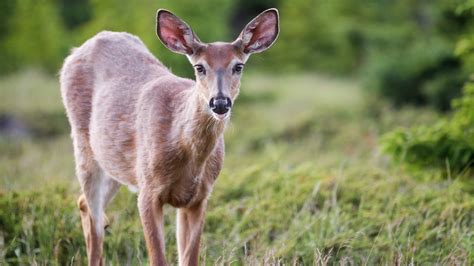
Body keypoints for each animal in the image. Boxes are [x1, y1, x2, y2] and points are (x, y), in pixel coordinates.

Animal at [61, 7, 280, 264]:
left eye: (238, 66)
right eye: (199, 67)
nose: (219, 103)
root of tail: (76, 51)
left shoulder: (199, 198)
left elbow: (190, 257)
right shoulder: (148, 191)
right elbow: (158, 257)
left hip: (114, 164)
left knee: (83, 203)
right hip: (83, 147)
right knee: (94, 223)